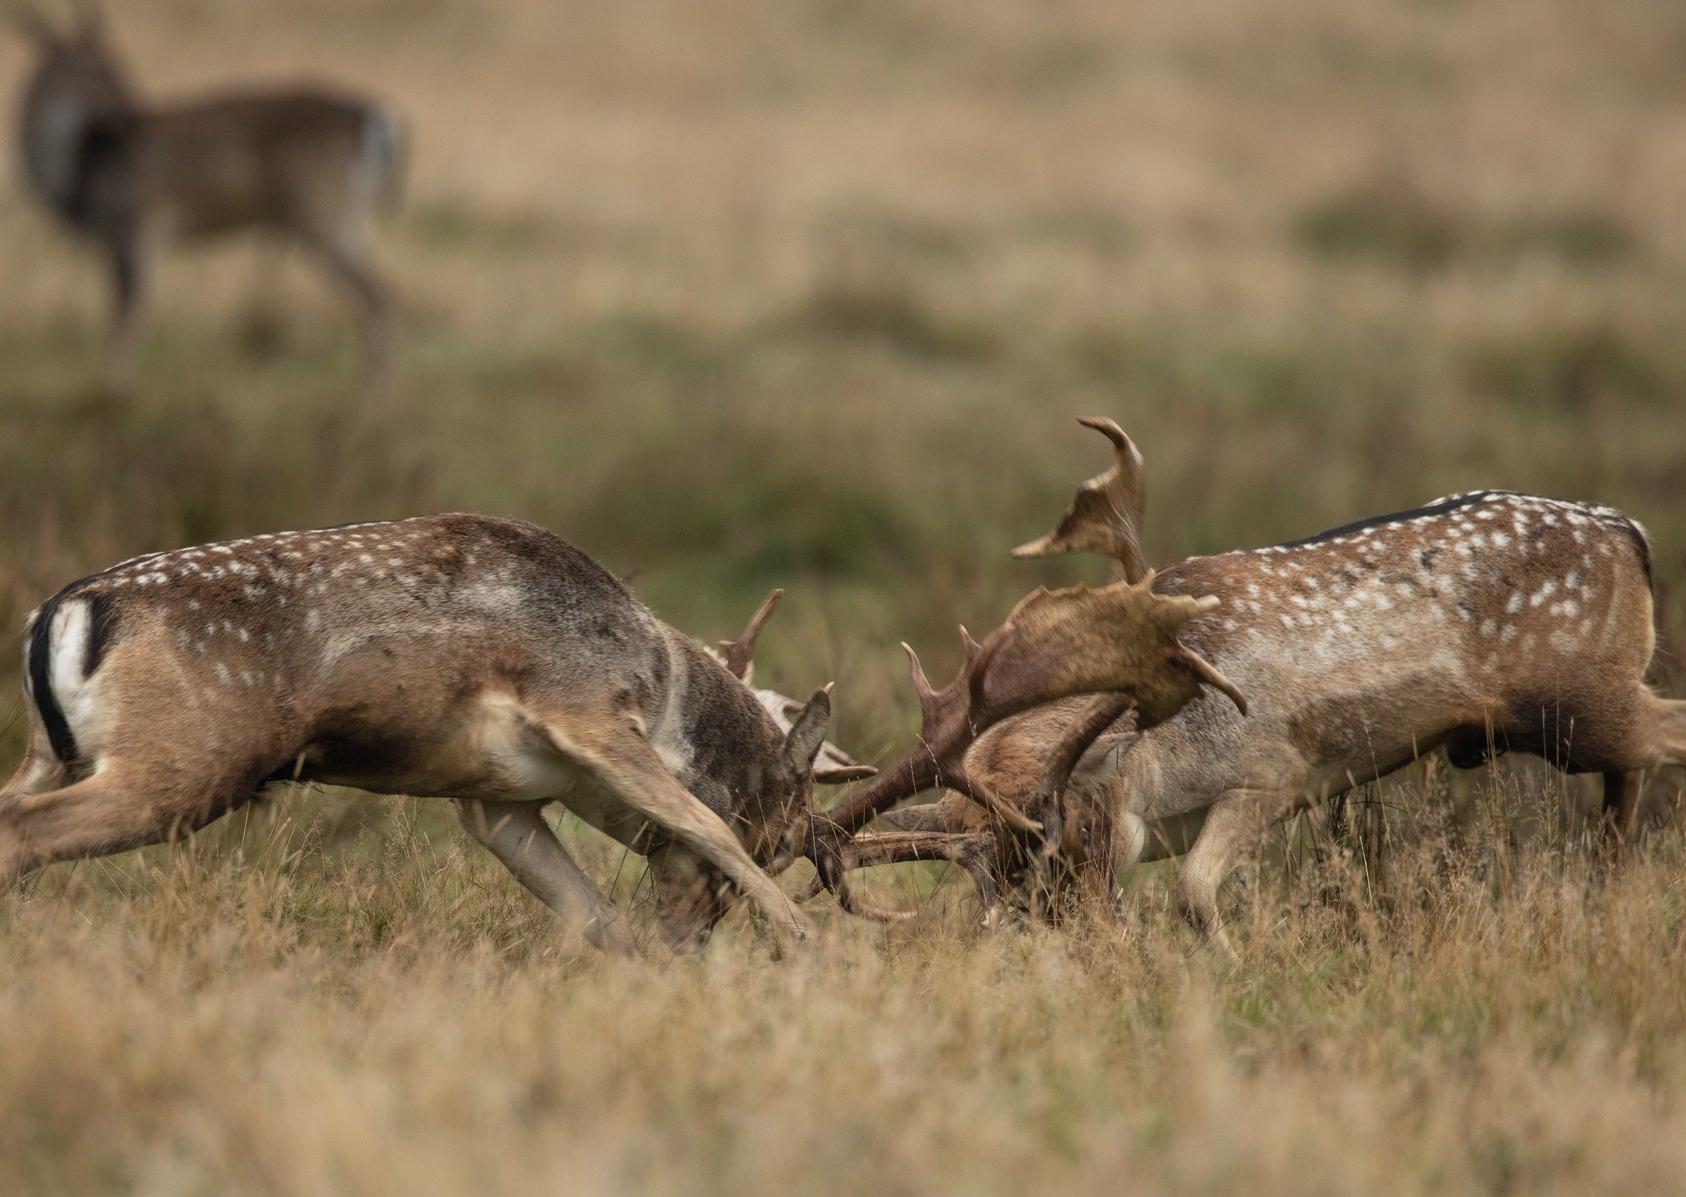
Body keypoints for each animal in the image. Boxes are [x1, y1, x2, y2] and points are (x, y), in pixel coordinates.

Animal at [0, 511, 1243, 955]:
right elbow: (700, 820)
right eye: (785, 838)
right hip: (180, 765)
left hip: (64, 752)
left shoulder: (495, 797)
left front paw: (646, 962)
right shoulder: (584, 712)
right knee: (20, 836)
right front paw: (825, 953)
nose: (693, 938)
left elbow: (591, 912)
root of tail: (58, 614)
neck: (661, 671)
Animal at [11, 2, 403, 387]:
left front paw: (118, 386)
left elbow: (128, 316)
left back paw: (376, 391)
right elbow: (119, 313)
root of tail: (373, 120)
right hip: (346, 216)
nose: (130, 106)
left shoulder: (139, 225)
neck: (74, 178)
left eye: (114, 62)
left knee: (377, 294)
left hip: (318, 211)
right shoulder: (119, 241)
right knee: (379, 291)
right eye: (95, 70)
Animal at [818, 419, 1686, 953]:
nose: (1095, 941)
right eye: (998, 880)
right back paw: (1605, 897)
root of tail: (1632, 535)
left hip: (1585, 702)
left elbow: (1193, 895)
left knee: (1662, 737)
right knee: (1625, 788)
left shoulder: (1276, 771)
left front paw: (1229, 967)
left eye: (1062, 837)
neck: (1157, 762)